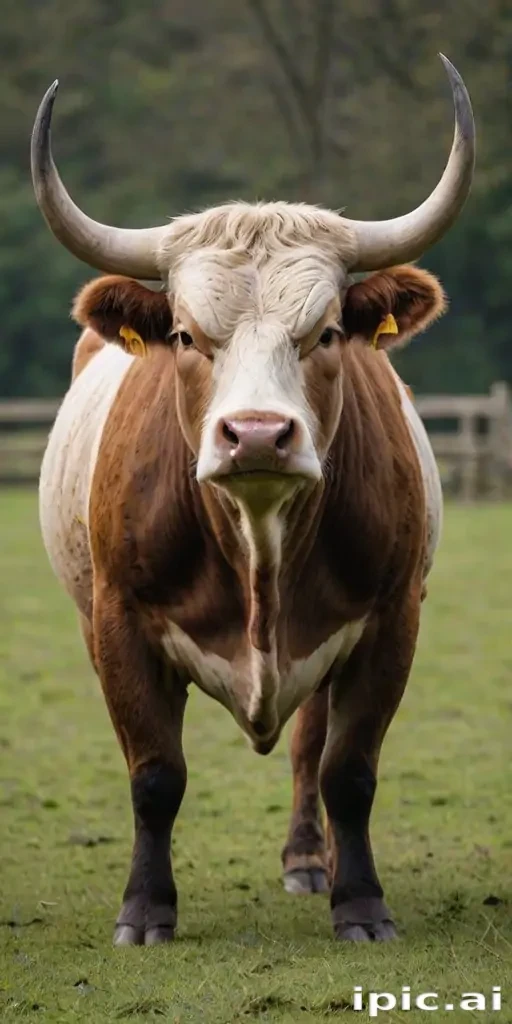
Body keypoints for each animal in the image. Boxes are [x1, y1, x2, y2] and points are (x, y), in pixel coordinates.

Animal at [31, 55, 474, 946]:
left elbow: (350, 770)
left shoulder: (390, 623)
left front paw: (361, 905)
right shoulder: (119, 623)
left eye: (326, 331)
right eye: (185, 335)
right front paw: (145, 912)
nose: (259, 435)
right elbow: (154, 773)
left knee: (309, 750)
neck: (259, 539)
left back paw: (312, 860)